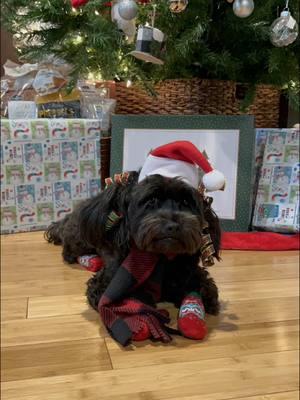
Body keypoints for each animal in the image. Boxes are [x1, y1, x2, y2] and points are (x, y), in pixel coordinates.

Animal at [45, 172, 221, 316]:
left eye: (185, 201)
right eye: (151, 200)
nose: (173, 226)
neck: (160, 258)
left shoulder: (190, 271)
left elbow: (206, 286)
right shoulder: (103, 285)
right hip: (80, 238)